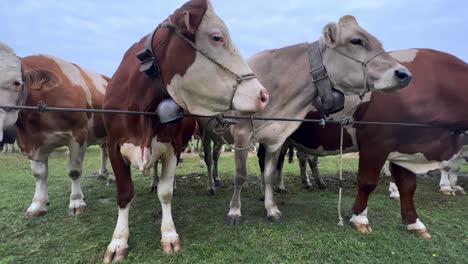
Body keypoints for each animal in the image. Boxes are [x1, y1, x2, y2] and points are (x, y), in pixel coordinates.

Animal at [16, 54, 110, 218]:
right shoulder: (30, 141)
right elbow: (38, 174)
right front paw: (37, 205)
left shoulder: (78, 134)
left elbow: (74, 171)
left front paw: (76, 202)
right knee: (104, 151)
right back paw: (102, 173)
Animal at [103, 0, 268, 260]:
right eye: (217, 37)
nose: (263, 95)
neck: (142, 108)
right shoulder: (113, 146)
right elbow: (124, 194)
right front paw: (118, 242)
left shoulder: (173, 145)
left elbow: (165, 193)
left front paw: (169, 235)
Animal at [278, 48, 468, 238]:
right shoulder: (375, 143)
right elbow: (367, 181)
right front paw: (360, 218)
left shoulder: (406, 146)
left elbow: (408, 186)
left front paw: (414, 222)